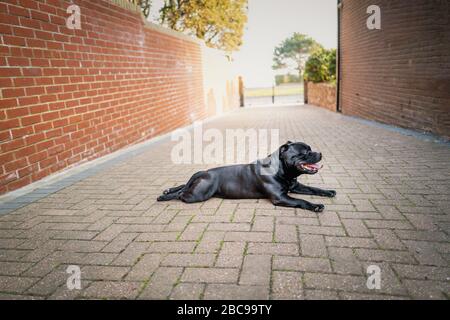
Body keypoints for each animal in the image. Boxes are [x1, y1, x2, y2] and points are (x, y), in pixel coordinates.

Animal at [158, 142, 334, 212]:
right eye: (305, 152)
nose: (320, 153)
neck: (282, 170)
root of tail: (205, 172)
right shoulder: (280, 197)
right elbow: (301, 201)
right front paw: (315, 206)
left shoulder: (295, 186)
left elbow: (314, 188)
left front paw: (329, 191)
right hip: (199, 194)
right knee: (182, 194)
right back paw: (164, 196)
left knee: (183, 185)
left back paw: (168, 190)